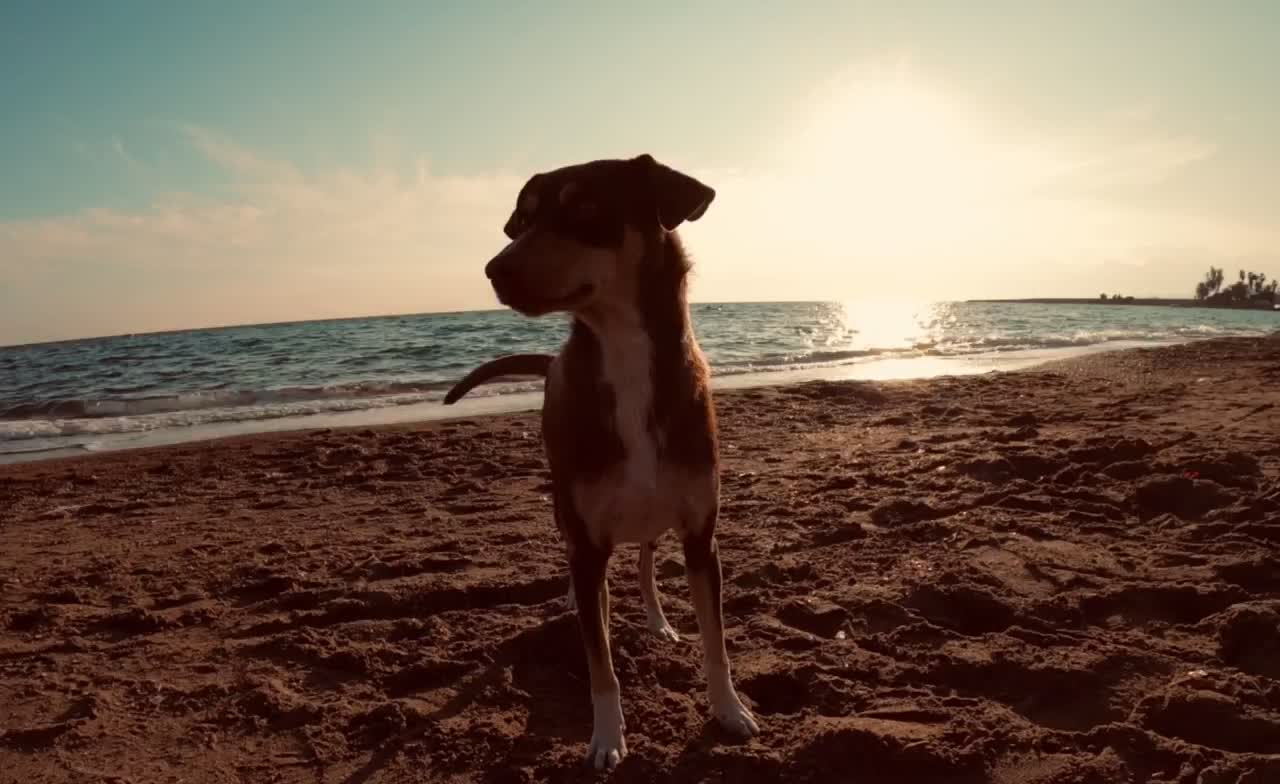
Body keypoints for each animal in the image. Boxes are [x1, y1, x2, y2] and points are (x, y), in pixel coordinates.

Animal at [442, 154, 752, 773]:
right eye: (523, 220)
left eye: (585, 208)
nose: (494, 269)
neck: (626, 353)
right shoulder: (587, 540)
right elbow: (599, 662)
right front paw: (608, 737)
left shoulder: (701, 535)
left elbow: (716, 640)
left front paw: (728, 710)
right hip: (568, 507)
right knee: (586, 574)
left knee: (646, 561)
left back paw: (656, 619)